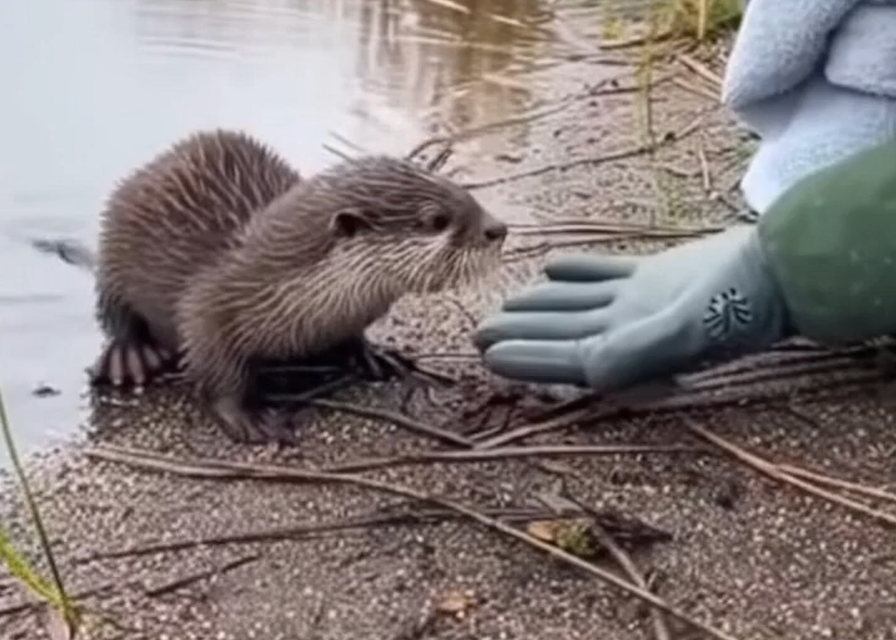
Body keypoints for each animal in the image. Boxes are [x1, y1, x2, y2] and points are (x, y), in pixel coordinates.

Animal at [54, 128, 507, 445]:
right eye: (436, 219)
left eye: (462, 192)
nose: (498, 228)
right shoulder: (209, 309)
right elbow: (217, 370)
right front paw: (248, 418)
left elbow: (353, 336)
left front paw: (374, 354)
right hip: (115, 244)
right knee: (116, 312)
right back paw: (129, 358)